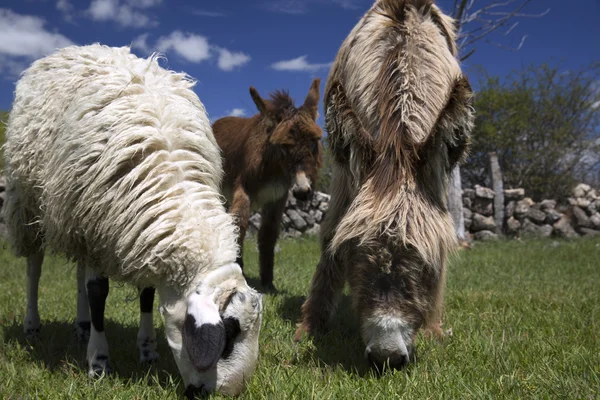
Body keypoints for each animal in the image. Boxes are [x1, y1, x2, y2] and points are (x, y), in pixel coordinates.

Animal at [3, 44, 262, 396]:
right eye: (229, 336)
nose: (221, 394)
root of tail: (70, 50)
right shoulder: (97, 225)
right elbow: (98, 291)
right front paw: (99, 362)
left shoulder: (133, 233)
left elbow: (146, 294)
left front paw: (147, 350)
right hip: (29, 202)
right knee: (34, 267)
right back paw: (33, 326)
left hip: (74, 217)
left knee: (79, 273)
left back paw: (82, 326)